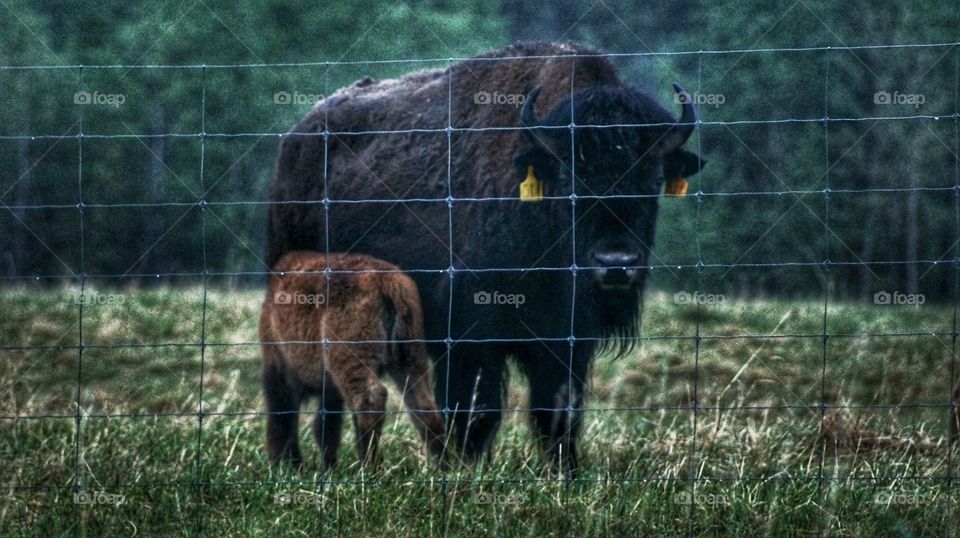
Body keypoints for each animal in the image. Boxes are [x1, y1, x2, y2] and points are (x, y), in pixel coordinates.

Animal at [266, 42, 705, 474]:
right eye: (569, 181)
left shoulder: (568, 342)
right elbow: (479, 409)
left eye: (653, 179)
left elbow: (558, 410)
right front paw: (468, 466)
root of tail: (295, 139)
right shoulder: (472, 334)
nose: (615, 264)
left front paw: (565, 471)